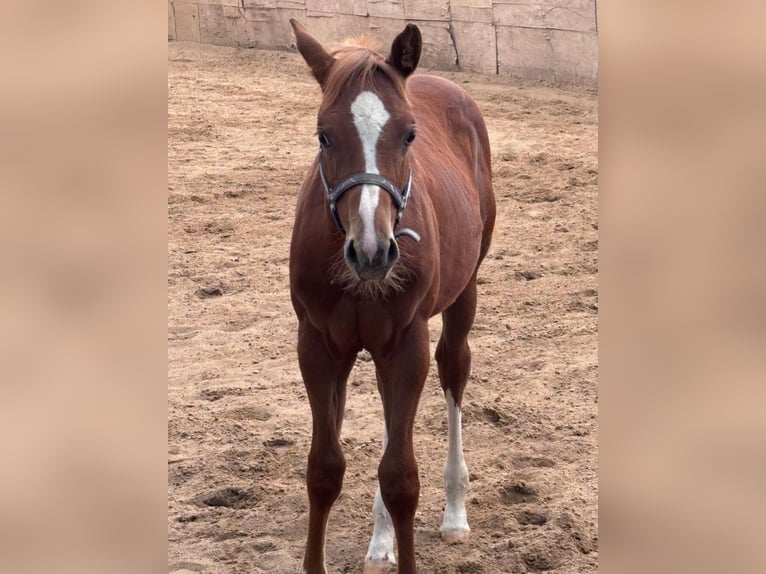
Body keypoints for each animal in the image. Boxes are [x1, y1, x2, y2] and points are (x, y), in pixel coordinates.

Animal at [288, 19, 496, 574]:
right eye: (323, 134)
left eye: (409, 134)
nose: (373, 250)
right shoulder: (317, 345)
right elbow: (323, 469)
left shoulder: (406, 343)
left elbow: (401, 478)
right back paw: (379, 541)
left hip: (463, 295)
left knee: (453, 369)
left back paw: (454, 512)